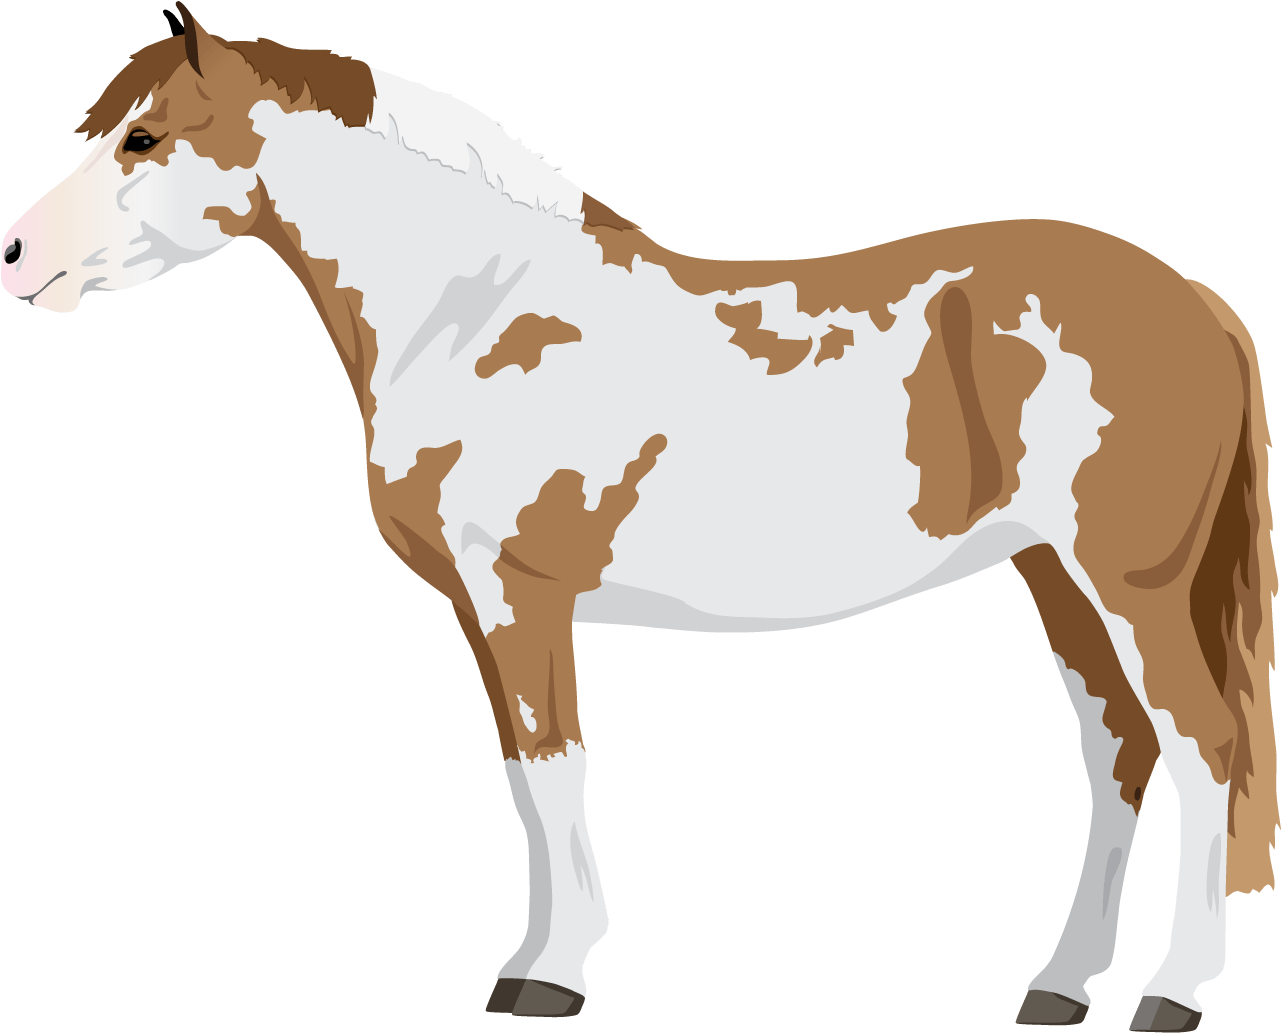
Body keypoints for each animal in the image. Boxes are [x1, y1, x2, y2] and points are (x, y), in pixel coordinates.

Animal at [4, 5, 1274, 1025]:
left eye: (145, 139)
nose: (14, 258)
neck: (480, 314)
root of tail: (1192, 297)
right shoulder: (492, 608)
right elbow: (528, 775)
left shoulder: (516, 595)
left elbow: (549, 769)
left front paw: (547, 972)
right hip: (1054, 577)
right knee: (1117, 754)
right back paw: (1060, 984)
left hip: (1129, 586)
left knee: (1200, 748)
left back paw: (1170, 991)